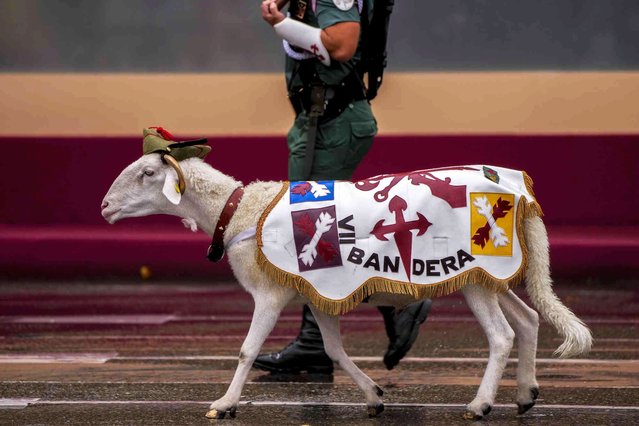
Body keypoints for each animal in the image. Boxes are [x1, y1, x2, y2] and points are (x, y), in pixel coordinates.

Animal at [101, 153, 596, 420]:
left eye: (147, 173)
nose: (104, 207)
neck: (239, 210)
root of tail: (523, 195)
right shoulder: (318, 292)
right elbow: (335, 351)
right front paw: (374, 396)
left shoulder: (271, 293)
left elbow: (245, 350)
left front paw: (223, 404)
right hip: (489, 275)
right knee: (529, 320)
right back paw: (526, 394)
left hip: (475, 278)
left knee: (502, 335)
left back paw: (479, 405)